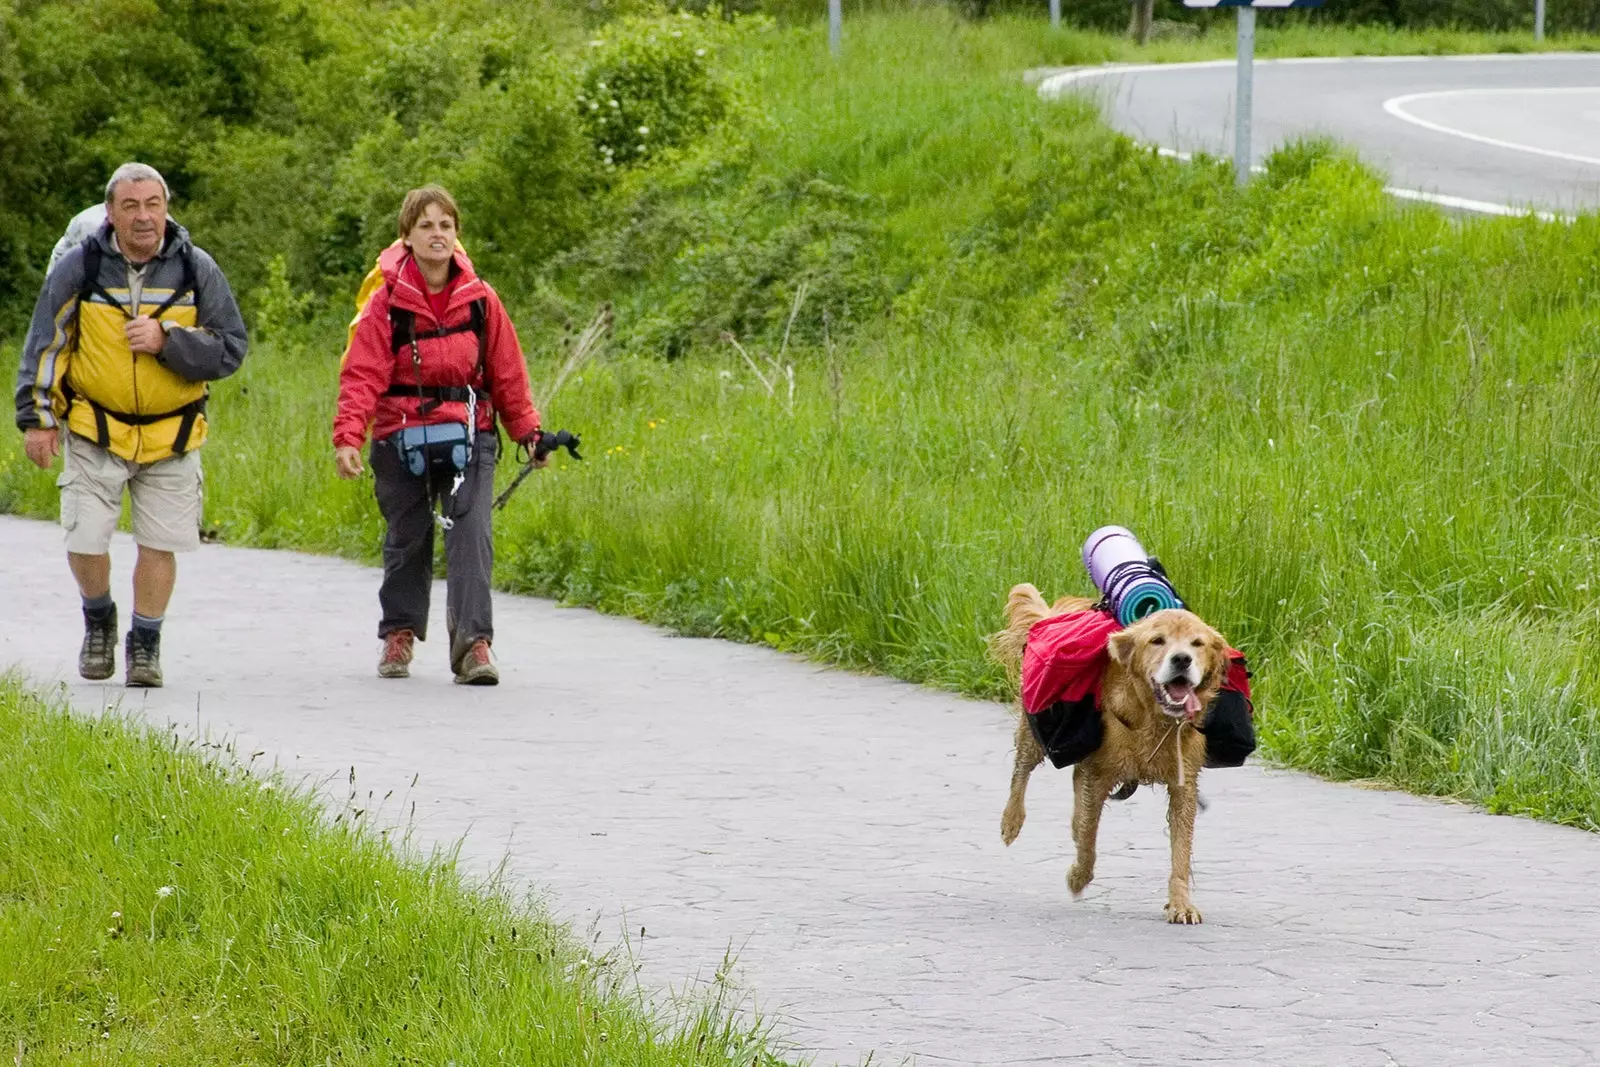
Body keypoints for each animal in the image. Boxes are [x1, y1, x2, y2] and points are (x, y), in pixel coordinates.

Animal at [992, 585, 1228, 927]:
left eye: (1197, 643)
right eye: (1157, 640)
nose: (1182, 659)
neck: (1151, 717)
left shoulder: (1183, 785)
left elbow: (1181, 852)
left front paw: (1181, 904)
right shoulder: (1100, 774)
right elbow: (1089, 841)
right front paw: (1077, 877)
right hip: (1035, 730)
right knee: (1021, 773)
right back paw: (1011, 822)